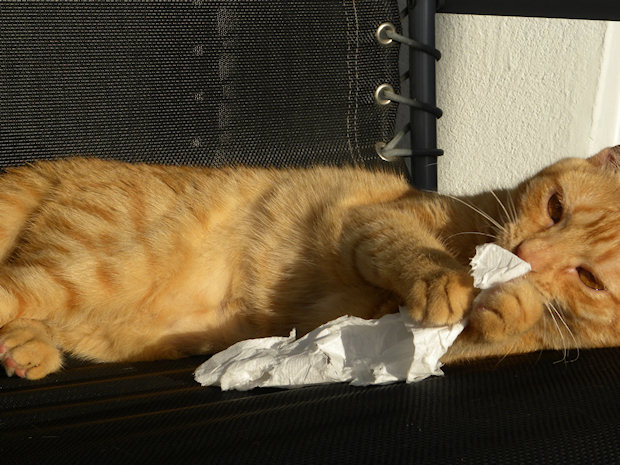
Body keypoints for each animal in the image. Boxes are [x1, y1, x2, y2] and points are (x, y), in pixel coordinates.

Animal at [0, 145, 616, 376]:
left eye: (588, 278)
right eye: (554, 206)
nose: (525, 254)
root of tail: (70, 163)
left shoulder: (392, 333)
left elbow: (503, 327)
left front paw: (513, 301)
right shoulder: (372, 221)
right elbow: (418, 252)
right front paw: (453, 280)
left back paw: (26, 350)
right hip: (91, 271)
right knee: (15, 288)